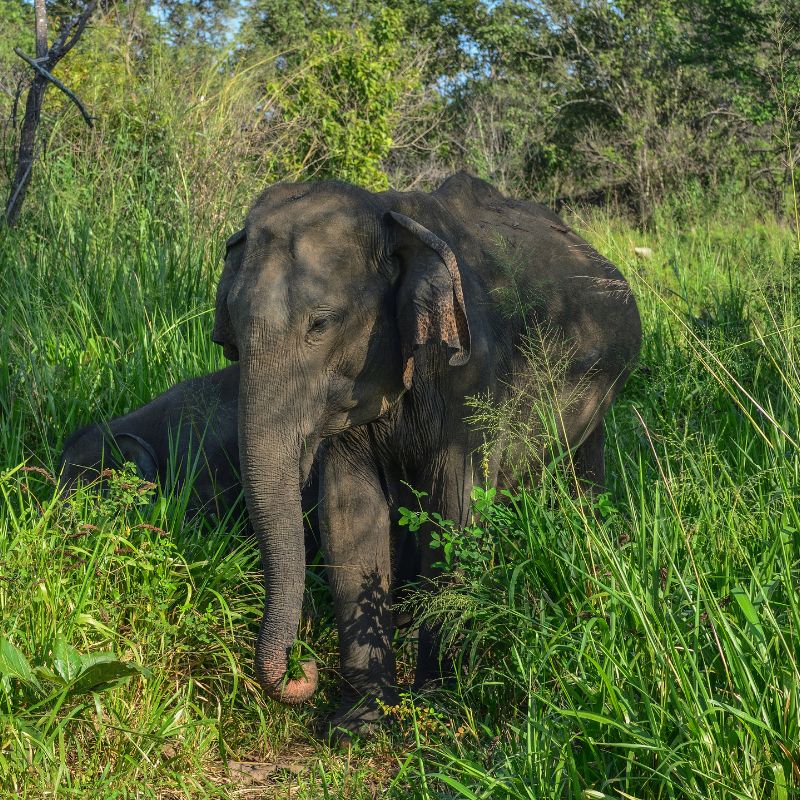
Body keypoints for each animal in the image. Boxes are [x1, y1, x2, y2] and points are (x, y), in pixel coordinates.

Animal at [212, 172, 644, 736]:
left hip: (603, 388)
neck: (388, 212)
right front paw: (359, 722)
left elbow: (454, 512)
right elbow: (348, 514)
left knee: (582, 474)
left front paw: (438, 705)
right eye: (233, 337)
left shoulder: (476, 377)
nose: (301, 669)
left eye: (320, 324)